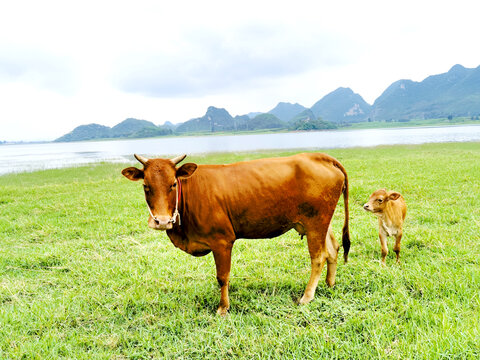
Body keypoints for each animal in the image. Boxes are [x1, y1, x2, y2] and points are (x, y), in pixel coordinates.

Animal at [122, 153, 350, 316]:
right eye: (146, 186)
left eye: (173, 184)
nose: (162, 221)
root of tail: (318, 156)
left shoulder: (222, 241)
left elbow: (222, 277)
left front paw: (223, 307)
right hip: (320, 223)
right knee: (333, 249)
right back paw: (329, 284)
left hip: (315, 223)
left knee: (318, 257)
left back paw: (307, 296)